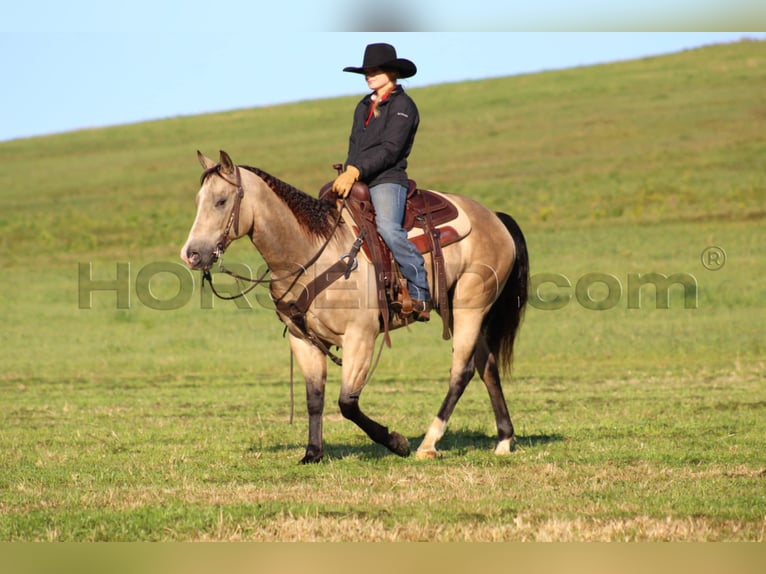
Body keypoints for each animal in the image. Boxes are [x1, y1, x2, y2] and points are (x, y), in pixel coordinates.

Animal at [182, 152, 528, 464]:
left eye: (221, 201)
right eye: (198, 200)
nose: (192, 255)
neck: (312, 253)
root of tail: (495, 217)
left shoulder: (360, 337)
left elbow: (347, 402)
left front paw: (396, 442)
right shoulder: (303, 340)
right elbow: (315, 398)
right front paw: (313, 453)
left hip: (472, 305)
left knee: (462, 370)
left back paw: (428, 444)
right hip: (453, 308)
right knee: (486, 365)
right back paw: (504, 440)